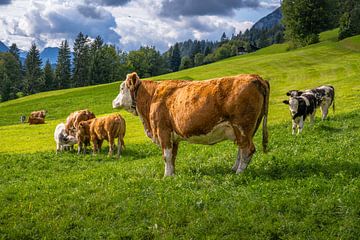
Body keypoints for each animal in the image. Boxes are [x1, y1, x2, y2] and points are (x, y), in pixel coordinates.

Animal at [113, 72, 270, 175]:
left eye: (121, 88)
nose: (113, 102)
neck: (151, 97)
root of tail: (255, 77)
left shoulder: (163, 131)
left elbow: (166, 156)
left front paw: (166, 176)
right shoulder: (173, 136)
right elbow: (173, 156)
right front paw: (173, 174)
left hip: (242, 126)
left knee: (248, 149)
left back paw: (239, 173)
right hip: (245, 129)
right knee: (241, 149)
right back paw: (234, 169)